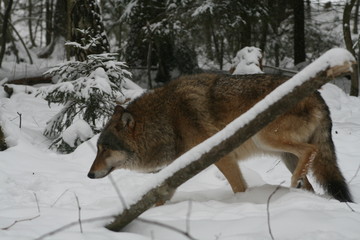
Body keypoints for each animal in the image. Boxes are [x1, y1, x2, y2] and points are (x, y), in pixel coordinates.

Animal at [88, 73, 352, 202]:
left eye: (104, 148)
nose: (89, 175)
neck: (166, 120)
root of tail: (318, 95)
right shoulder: (180, 166)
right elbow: (160, 193)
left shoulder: (223, 157)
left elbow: (238, 187)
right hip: (285, 155)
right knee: (310, 182)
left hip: (264, 138)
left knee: (310, 150)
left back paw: (293, 185)